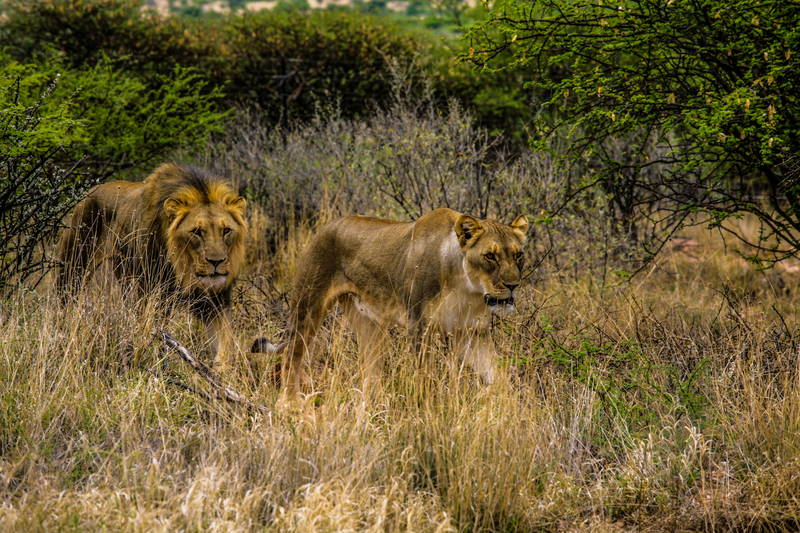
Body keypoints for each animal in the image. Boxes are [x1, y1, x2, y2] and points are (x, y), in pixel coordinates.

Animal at [56, 162, 248, 372]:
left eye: (226, 230)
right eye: (196, 232)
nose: (216, 261)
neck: (185, 269)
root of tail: (89, 191)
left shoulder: (215, 301)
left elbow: (226, 341)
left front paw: (222, 372)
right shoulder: (154, 294)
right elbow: (153, 334)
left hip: (124, 274)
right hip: (75, 266)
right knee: (64, 303)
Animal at [253, 208, 528, 403]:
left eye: (518, 255)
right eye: (490, 256)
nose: (513, 285)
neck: (466, 288)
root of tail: (325, 227)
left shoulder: (471, 333)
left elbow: (497, 374)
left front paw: (506, 409)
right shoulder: (419, 328)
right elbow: (423, 379)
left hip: (369, 326)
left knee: (370, 375)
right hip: (307, 306)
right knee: (291, 358)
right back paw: (290, 405)